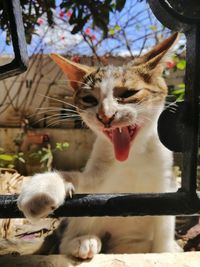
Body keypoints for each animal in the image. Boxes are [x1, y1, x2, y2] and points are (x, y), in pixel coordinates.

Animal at [18, 33, 182, 260]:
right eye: (89, 99)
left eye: (128, 93)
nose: (105, 116)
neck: (132, 158)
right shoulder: (96, 184)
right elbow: (78, 181)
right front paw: (43, 188)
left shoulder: (165, 184)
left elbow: (163, 238)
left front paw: (166, 251)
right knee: (67, 238)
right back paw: (83, 241)